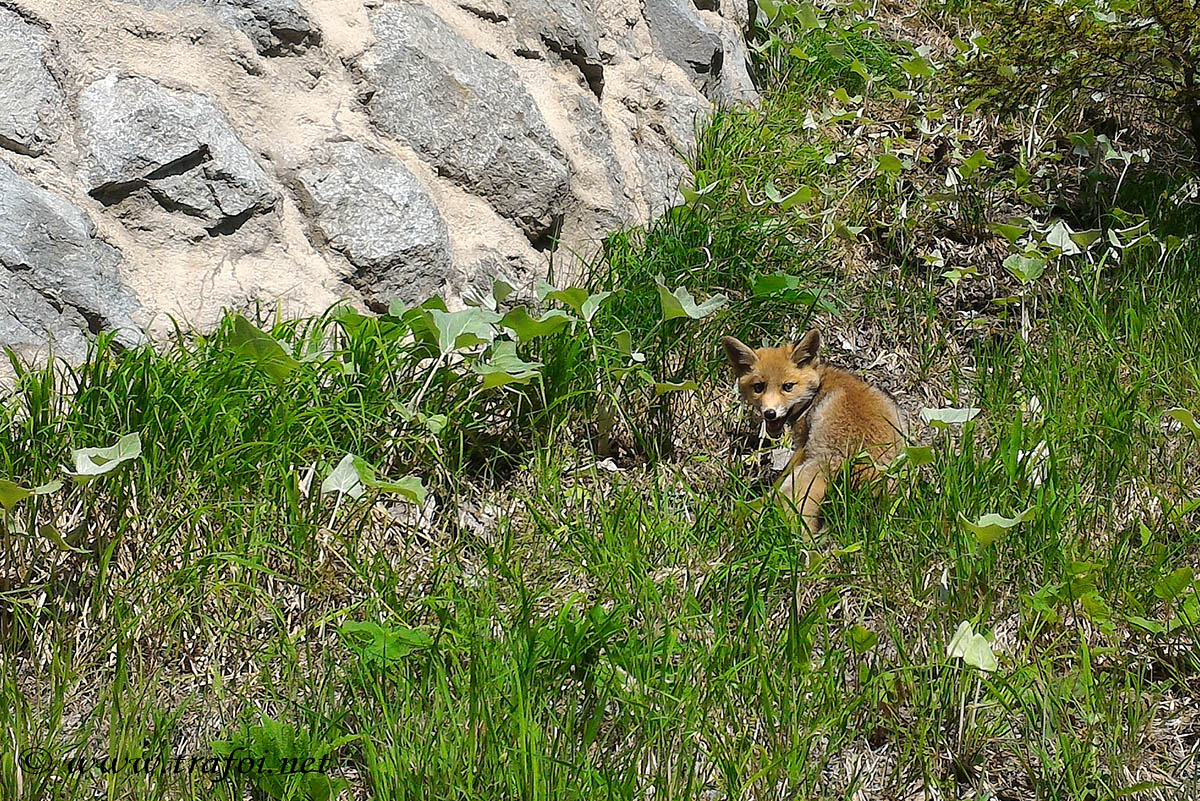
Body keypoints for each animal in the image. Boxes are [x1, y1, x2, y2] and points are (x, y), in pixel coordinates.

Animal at [721, 329, 905, 533]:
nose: (770, 413)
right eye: (759, 387)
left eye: (787, 386)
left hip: (804, 474)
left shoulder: (802, 446)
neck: (818, 388)